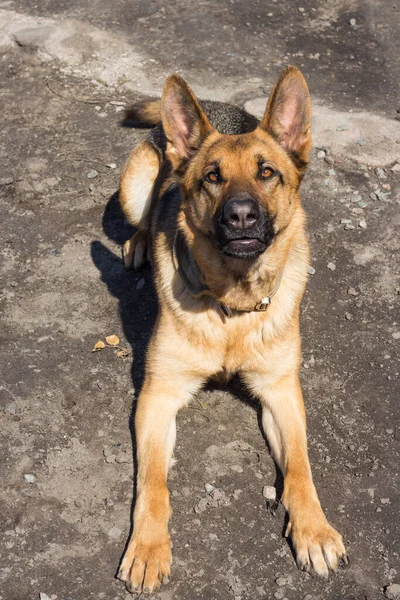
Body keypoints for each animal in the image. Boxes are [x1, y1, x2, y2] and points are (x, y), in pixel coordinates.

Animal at [116, 68, 346, 592]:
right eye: (212, 177)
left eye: (267, 173)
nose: (241, 215)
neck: (233, 309)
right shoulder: (158, 396)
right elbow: (153, 483)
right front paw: (148, 547)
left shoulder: (281, 393)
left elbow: (300, 467)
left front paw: (314, 528)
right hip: (133, 186)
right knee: (143, 217)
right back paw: (137, 243)